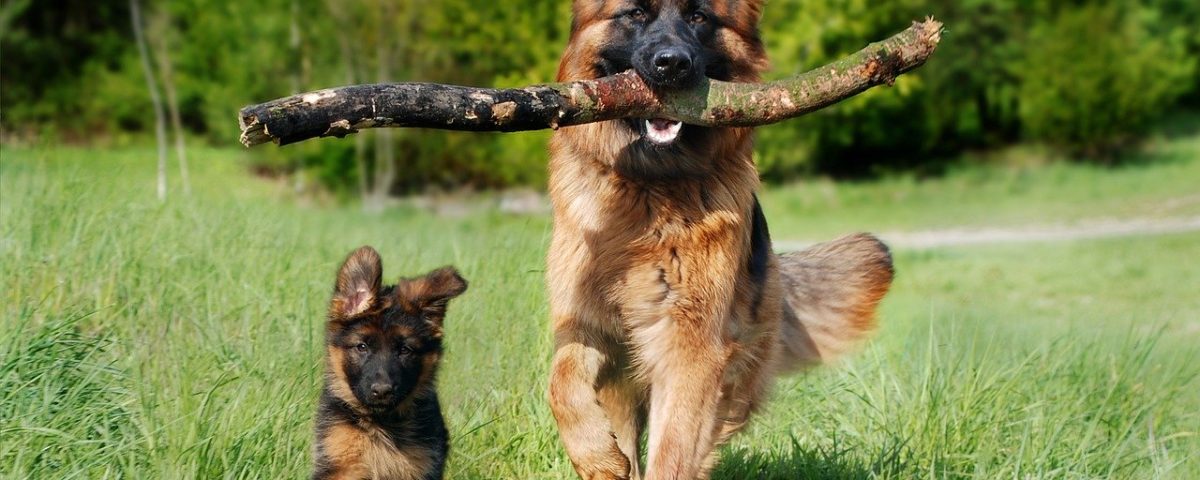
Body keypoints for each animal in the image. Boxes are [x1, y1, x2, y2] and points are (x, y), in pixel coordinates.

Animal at [549, 1, 897, 477]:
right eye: (635, 13)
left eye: (699, 18)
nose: (672, 65)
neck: (650, 187)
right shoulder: (584, 323)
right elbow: (561, 383)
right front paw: (596, 455)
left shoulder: (690, 348)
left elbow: (672, 452)